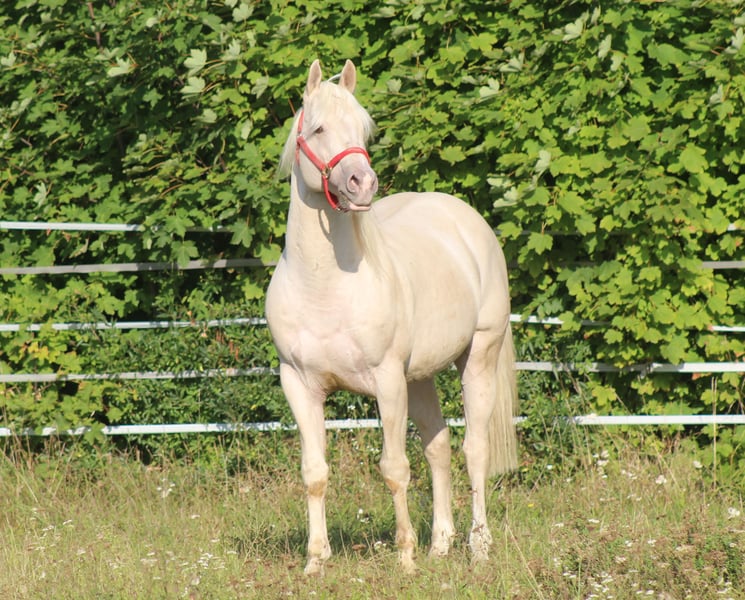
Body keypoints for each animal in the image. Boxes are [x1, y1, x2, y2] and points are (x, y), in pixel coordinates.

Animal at [265, 59, 518, 575]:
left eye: (363, 129)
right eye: (317, 128)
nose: (363, 184)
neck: (324, 287)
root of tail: (466, 219)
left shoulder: (386, 382)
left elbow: (394, 468)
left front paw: (405, 559)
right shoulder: (298, 384)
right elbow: (314, 472)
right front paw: (315, 562)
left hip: (478, 356)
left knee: (474, 450)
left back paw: (478, 545)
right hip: (419, 377)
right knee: (438, 448)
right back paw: (441, 543)